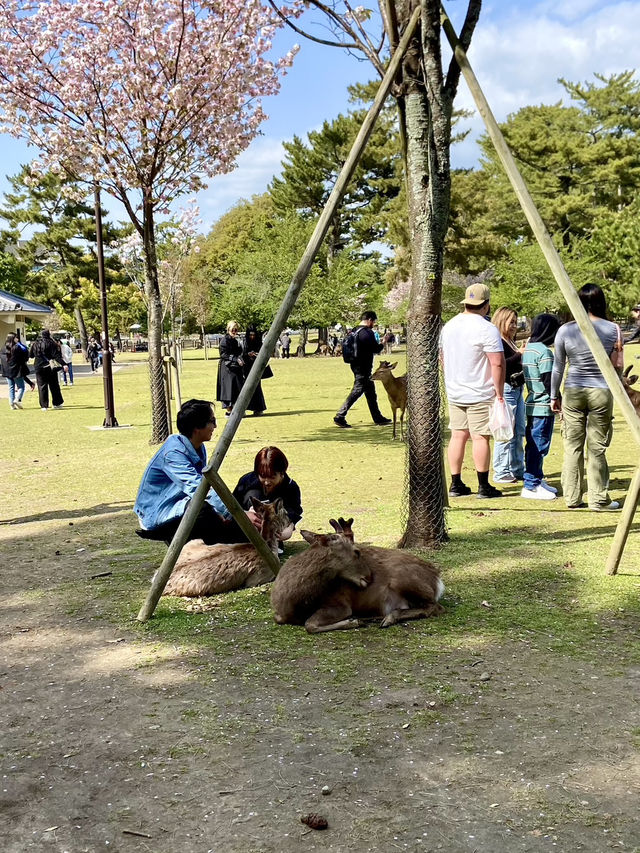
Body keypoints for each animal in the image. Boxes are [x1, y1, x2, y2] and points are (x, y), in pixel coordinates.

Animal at [272, 516, 444, 628]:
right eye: (357, 551)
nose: (369, 577)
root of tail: (438, 581)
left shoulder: (340, 603)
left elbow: (310, 624)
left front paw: (353, 621)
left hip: (403, 579)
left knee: (435, 607)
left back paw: (387, 618)